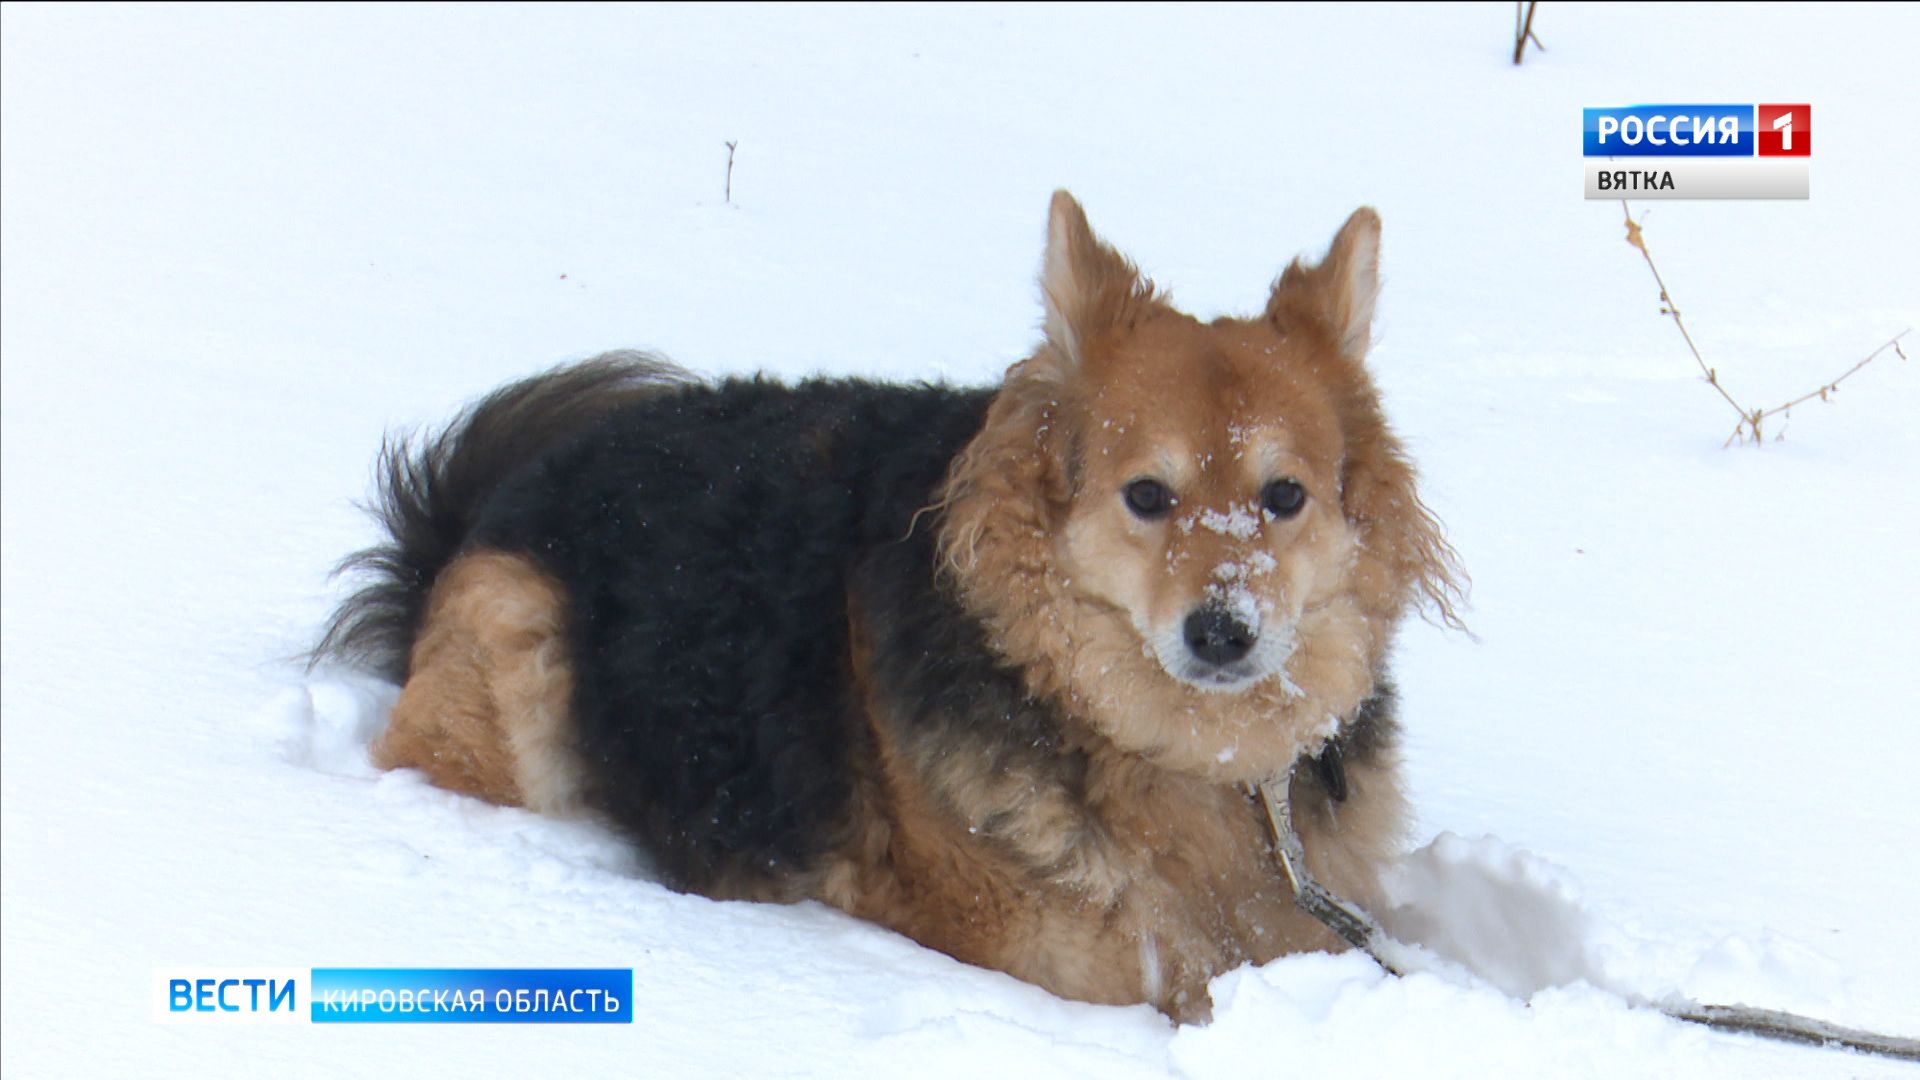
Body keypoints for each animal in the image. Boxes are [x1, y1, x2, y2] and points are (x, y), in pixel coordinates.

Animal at [318, 193, 1451, 1014]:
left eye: (1285, 497)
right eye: (1147, 495)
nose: (1223, 634)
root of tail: (479, 506)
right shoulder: (1083, 956)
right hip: (520, 643)